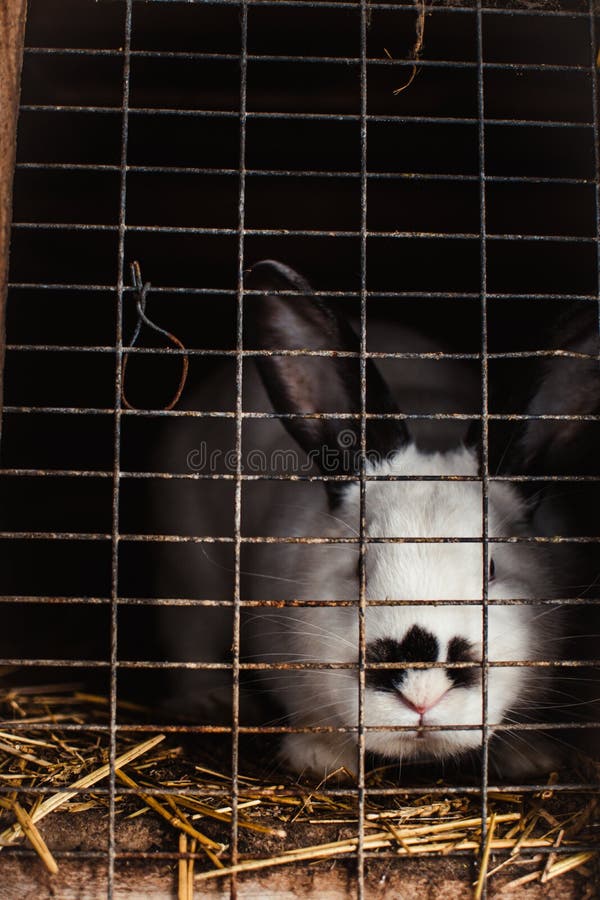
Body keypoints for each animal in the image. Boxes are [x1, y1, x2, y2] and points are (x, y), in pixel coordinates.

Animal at [153, 260, 574, 780]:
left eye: (491, 570)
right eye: (358, 569)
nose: (421, 694)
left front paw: (531, 759)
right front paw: (320, 760)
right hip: (185, 577)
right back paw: (212, 702)